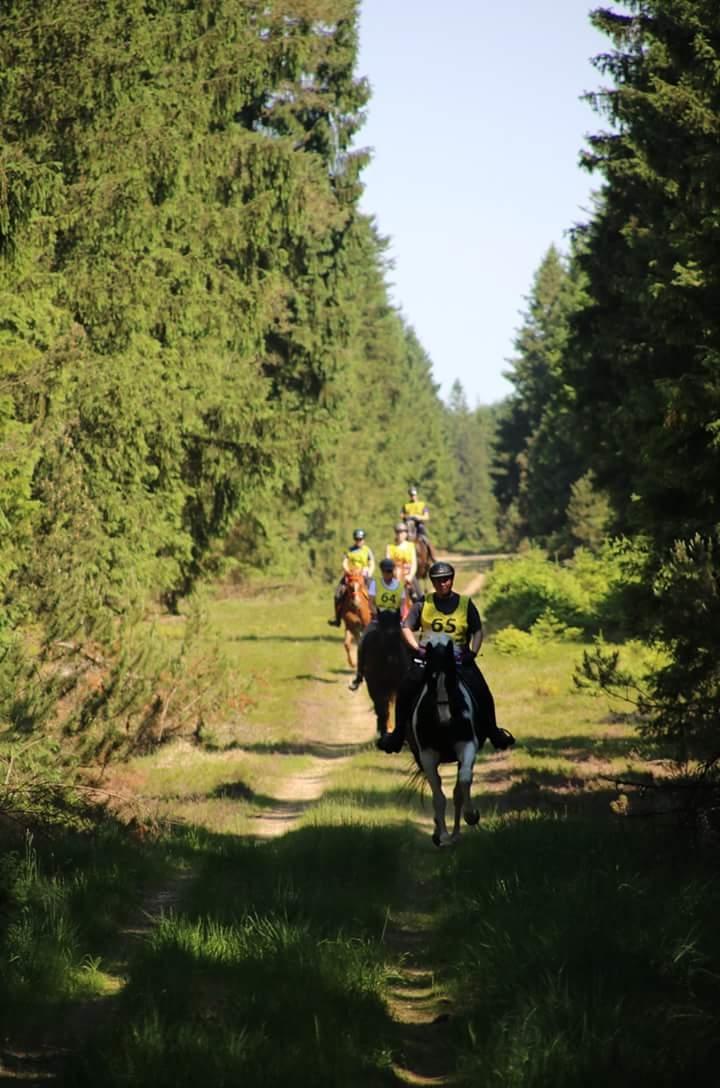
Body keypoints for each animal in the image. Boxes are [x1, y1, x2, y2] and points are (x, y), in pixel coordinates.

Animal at [408, 639, 487, 844]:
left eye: (452, 679)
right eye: (430, 680)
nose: (445, 719)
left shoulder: (467, 747)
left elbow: (464, 781)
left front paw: (471, 815)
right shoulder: (427, 757)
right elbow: (438, 797)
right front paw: (442, 836)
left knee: (458, 790)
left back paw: (456, 834)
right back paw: (440, 832)